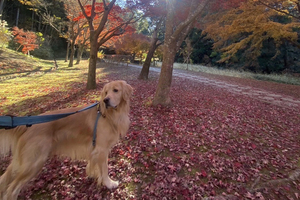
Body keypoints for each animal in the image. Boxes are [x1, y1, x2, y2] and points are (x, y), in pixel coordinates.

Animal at [0, 80, 133, 200]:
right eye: (106, 92)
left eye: (115, 90)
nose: (106, 100)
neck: (109, 115)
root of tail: (28, 125)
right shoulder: (101, 150)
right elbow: (104, 169)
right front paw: (109, 183)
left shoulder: (94, 150)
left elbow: (93, 165)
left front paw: (93, 175)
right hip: (33, 163)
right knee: (12, 190)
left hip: (21, 163)